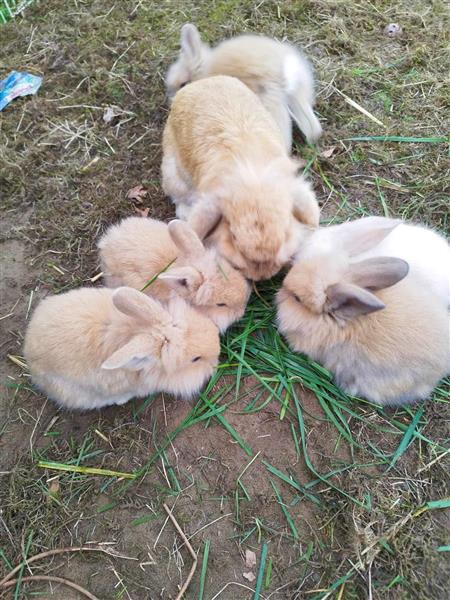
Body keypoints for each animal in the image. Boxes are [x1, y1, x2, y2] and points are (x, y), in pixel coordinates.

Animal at [162, 75, 320, 282]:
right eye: (233, 236)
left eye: (285, 232)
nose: (262, 276)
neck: (253, 180)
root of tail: (203, 82)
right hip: (173, 174)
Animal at [164, 24, 320, 149]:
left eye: (183, 84)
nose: (172, 102)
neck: (205, 70)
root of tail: (281, 76)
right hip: (298, 95)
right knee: (313, 127)